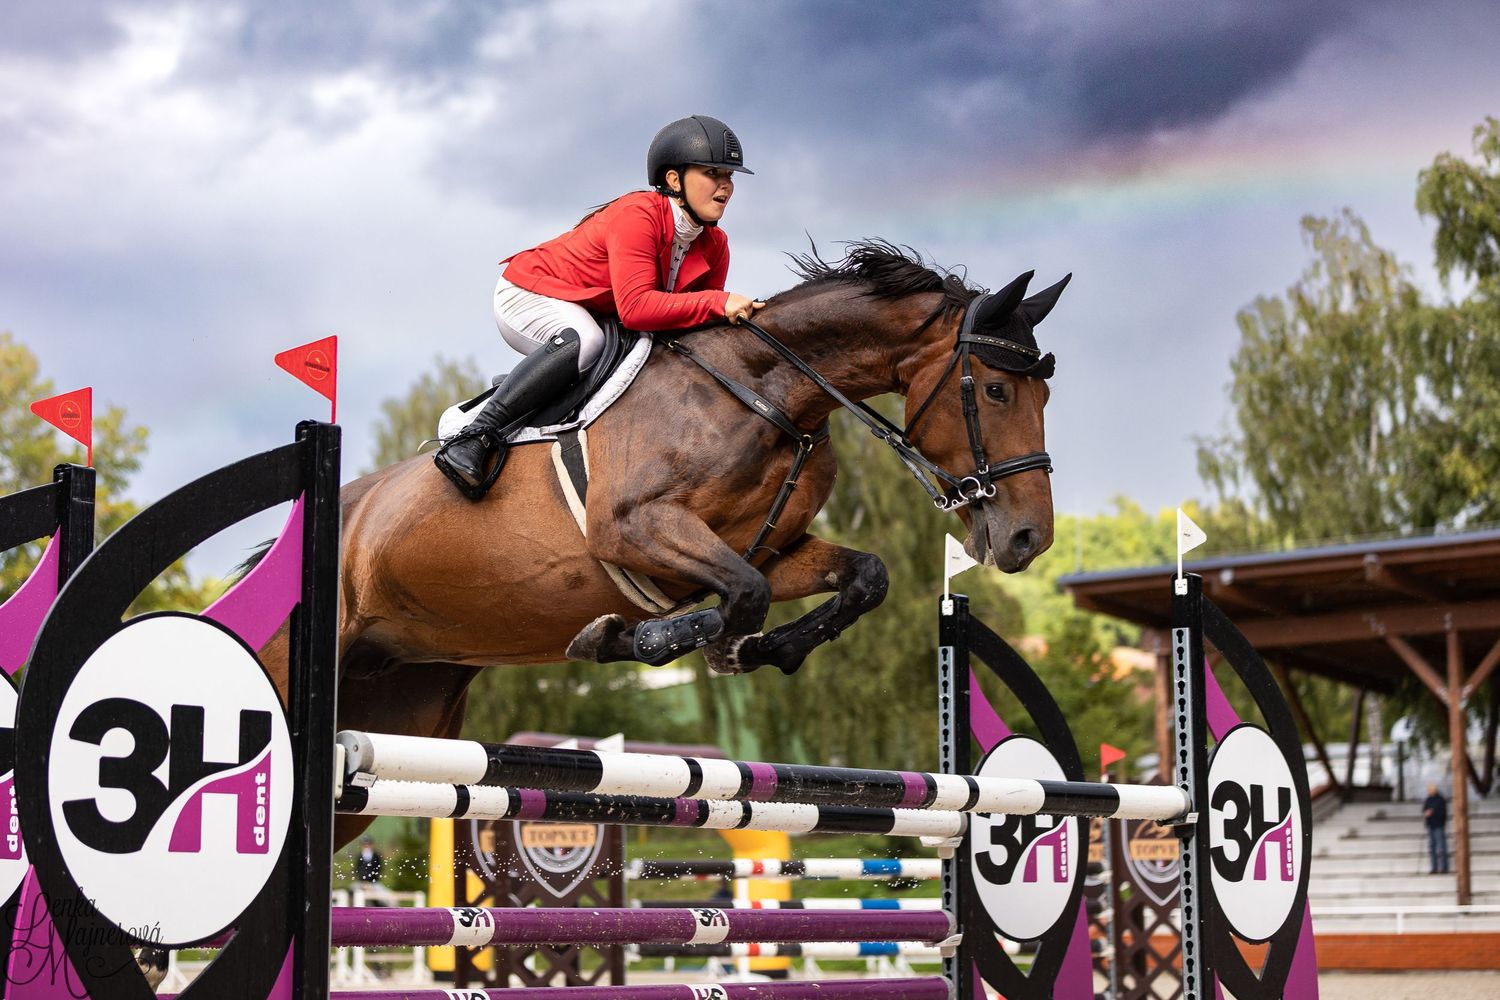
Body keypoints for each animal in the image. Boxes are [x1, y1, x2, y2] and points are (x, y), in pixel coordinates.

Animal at [261, 241, 1067, 848]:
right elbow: (739, 595)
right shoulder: (636, 528)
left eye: (1046, 395)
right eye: (996, 390)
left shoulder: (773, 548)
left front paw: (757, 651)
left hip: (397, 713)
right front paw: (635, 638)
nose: (1029, 537)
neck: (768, 389)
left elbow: (859, 577)